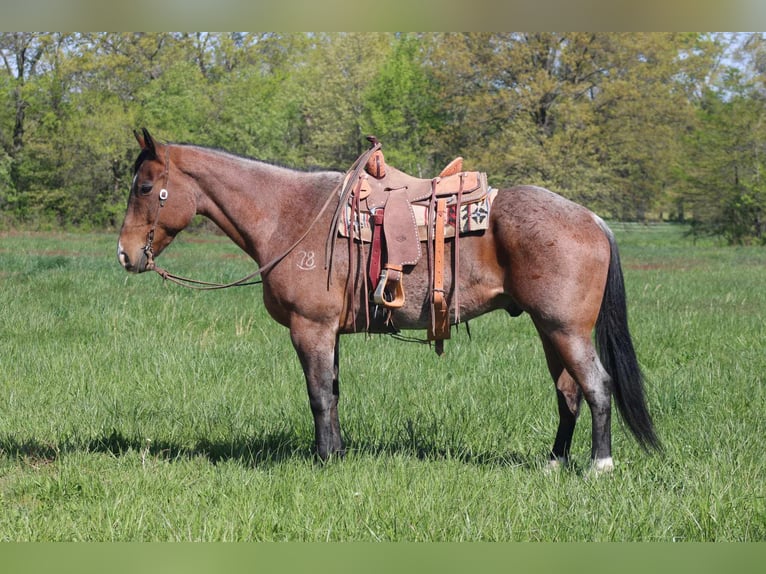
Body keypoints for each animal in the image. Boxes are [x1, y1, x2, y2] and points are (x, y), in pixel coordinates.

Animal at [115, 129, 660, 472]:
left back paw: (600, 465)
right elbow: (333, 393)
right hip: (549, 331)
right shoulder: (329, 332)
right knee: (569, 394)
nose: (124, 254)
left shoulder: (310, 328)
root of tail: (593, 219)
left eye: (145, 186)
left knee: (597, 386)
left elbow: (318, 396)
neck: (290, 215)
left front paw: (325, 460)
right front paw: (336, 453)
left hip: (566, 330)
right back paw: (554, 462)